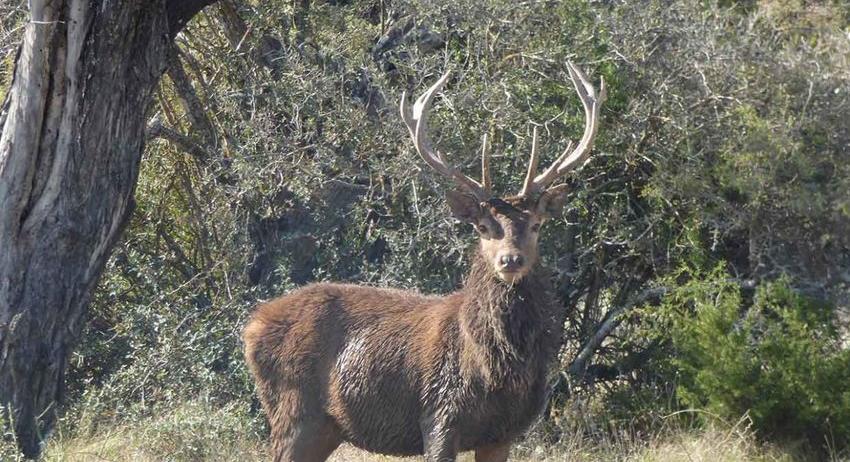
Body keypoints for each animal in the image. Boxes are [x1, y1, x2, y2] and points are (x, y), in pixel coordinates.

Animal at [242, 62, 608, 462]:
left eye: (537, 225)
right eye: (483, 227)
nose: (510, 259)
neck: (495, 370)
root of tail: (252, 325)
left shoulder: (503, 432)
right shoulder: (439, 413)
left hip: (324, 427)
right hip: (293, 410)